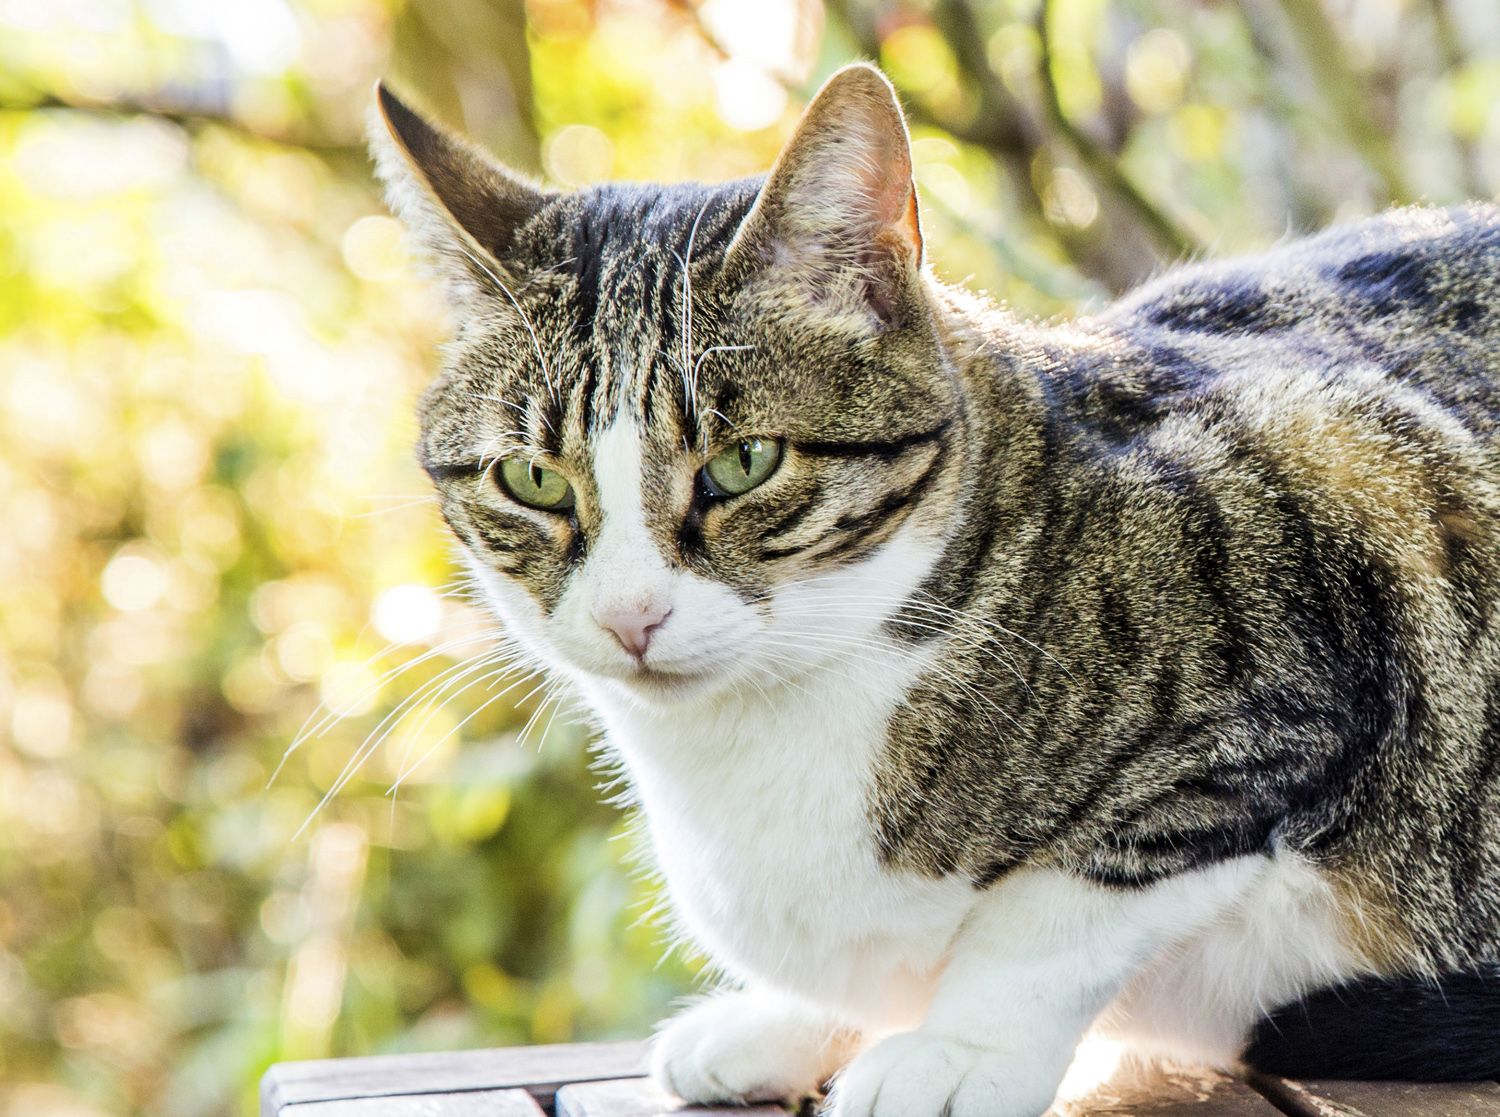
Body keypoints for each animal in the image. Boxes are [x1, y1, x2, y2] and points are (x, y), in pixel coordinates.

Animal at [372, 63, 1500, 1115]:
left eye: (742, 464)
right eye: (532, 480)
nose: (628, 616)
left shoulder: (1331, 538)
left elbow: (1054, 911)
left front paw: (958, 1048)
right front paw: (788, 1021)